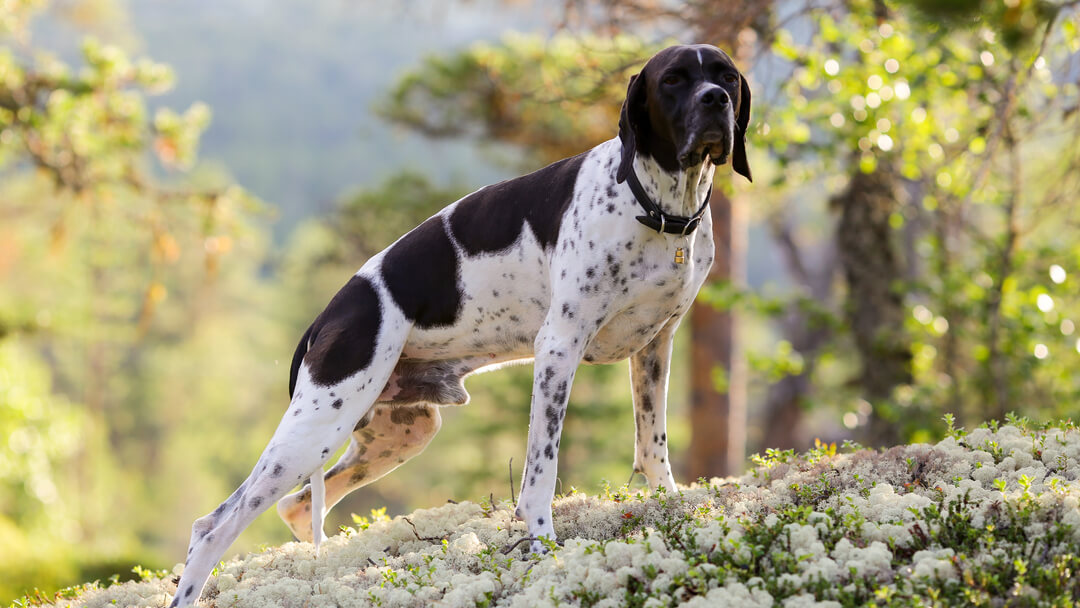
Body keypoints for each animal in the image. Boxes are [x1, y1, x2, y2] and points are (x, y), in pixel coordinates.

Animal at [174, 45, 751, 604]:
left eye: (727, 75)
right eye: (673, 79)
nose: (716, 100)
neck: (654, 204)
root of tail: (325, 316)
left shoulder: (655, 348)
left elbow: (653, 447)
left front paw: (670, 509)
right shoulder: (558, 349)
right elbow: (542, 470)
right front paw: (541, 544)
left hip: (398, 433)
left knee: (292, 509)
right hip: (318, 427)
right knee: (214, 527)